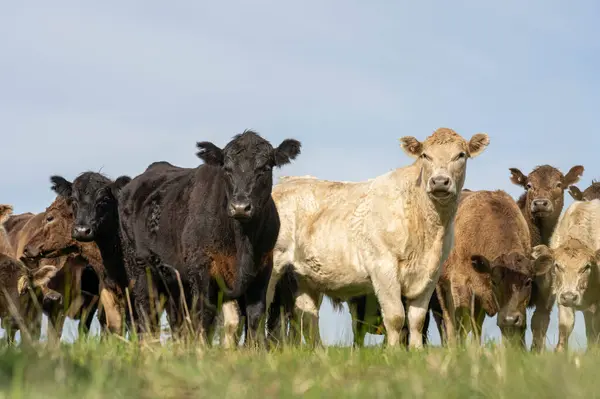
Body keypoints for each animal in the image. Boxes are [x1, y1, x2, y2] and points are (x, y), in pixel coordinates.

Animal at [264, 129, 490, 350]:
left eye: (460, 155)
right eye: (425, 155)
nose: (440, 181)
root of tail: (286, 183)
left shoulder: (430, 274)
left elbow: (417, 319)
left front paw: (417, 351)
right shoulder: (383, 266)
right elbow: (396, 316)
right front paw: (393, 352)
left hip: (304, 276)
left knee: (307, 314)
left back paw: (318, 351)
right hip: (272, 266)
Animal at [436, 189, 552, 348]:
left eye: (528, 281)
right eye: (494, 281)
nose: (510, 319)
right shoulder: (460, 284)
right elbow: (462, 324)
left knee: (476, 326)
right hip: (443, 287)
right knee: (450, 321)